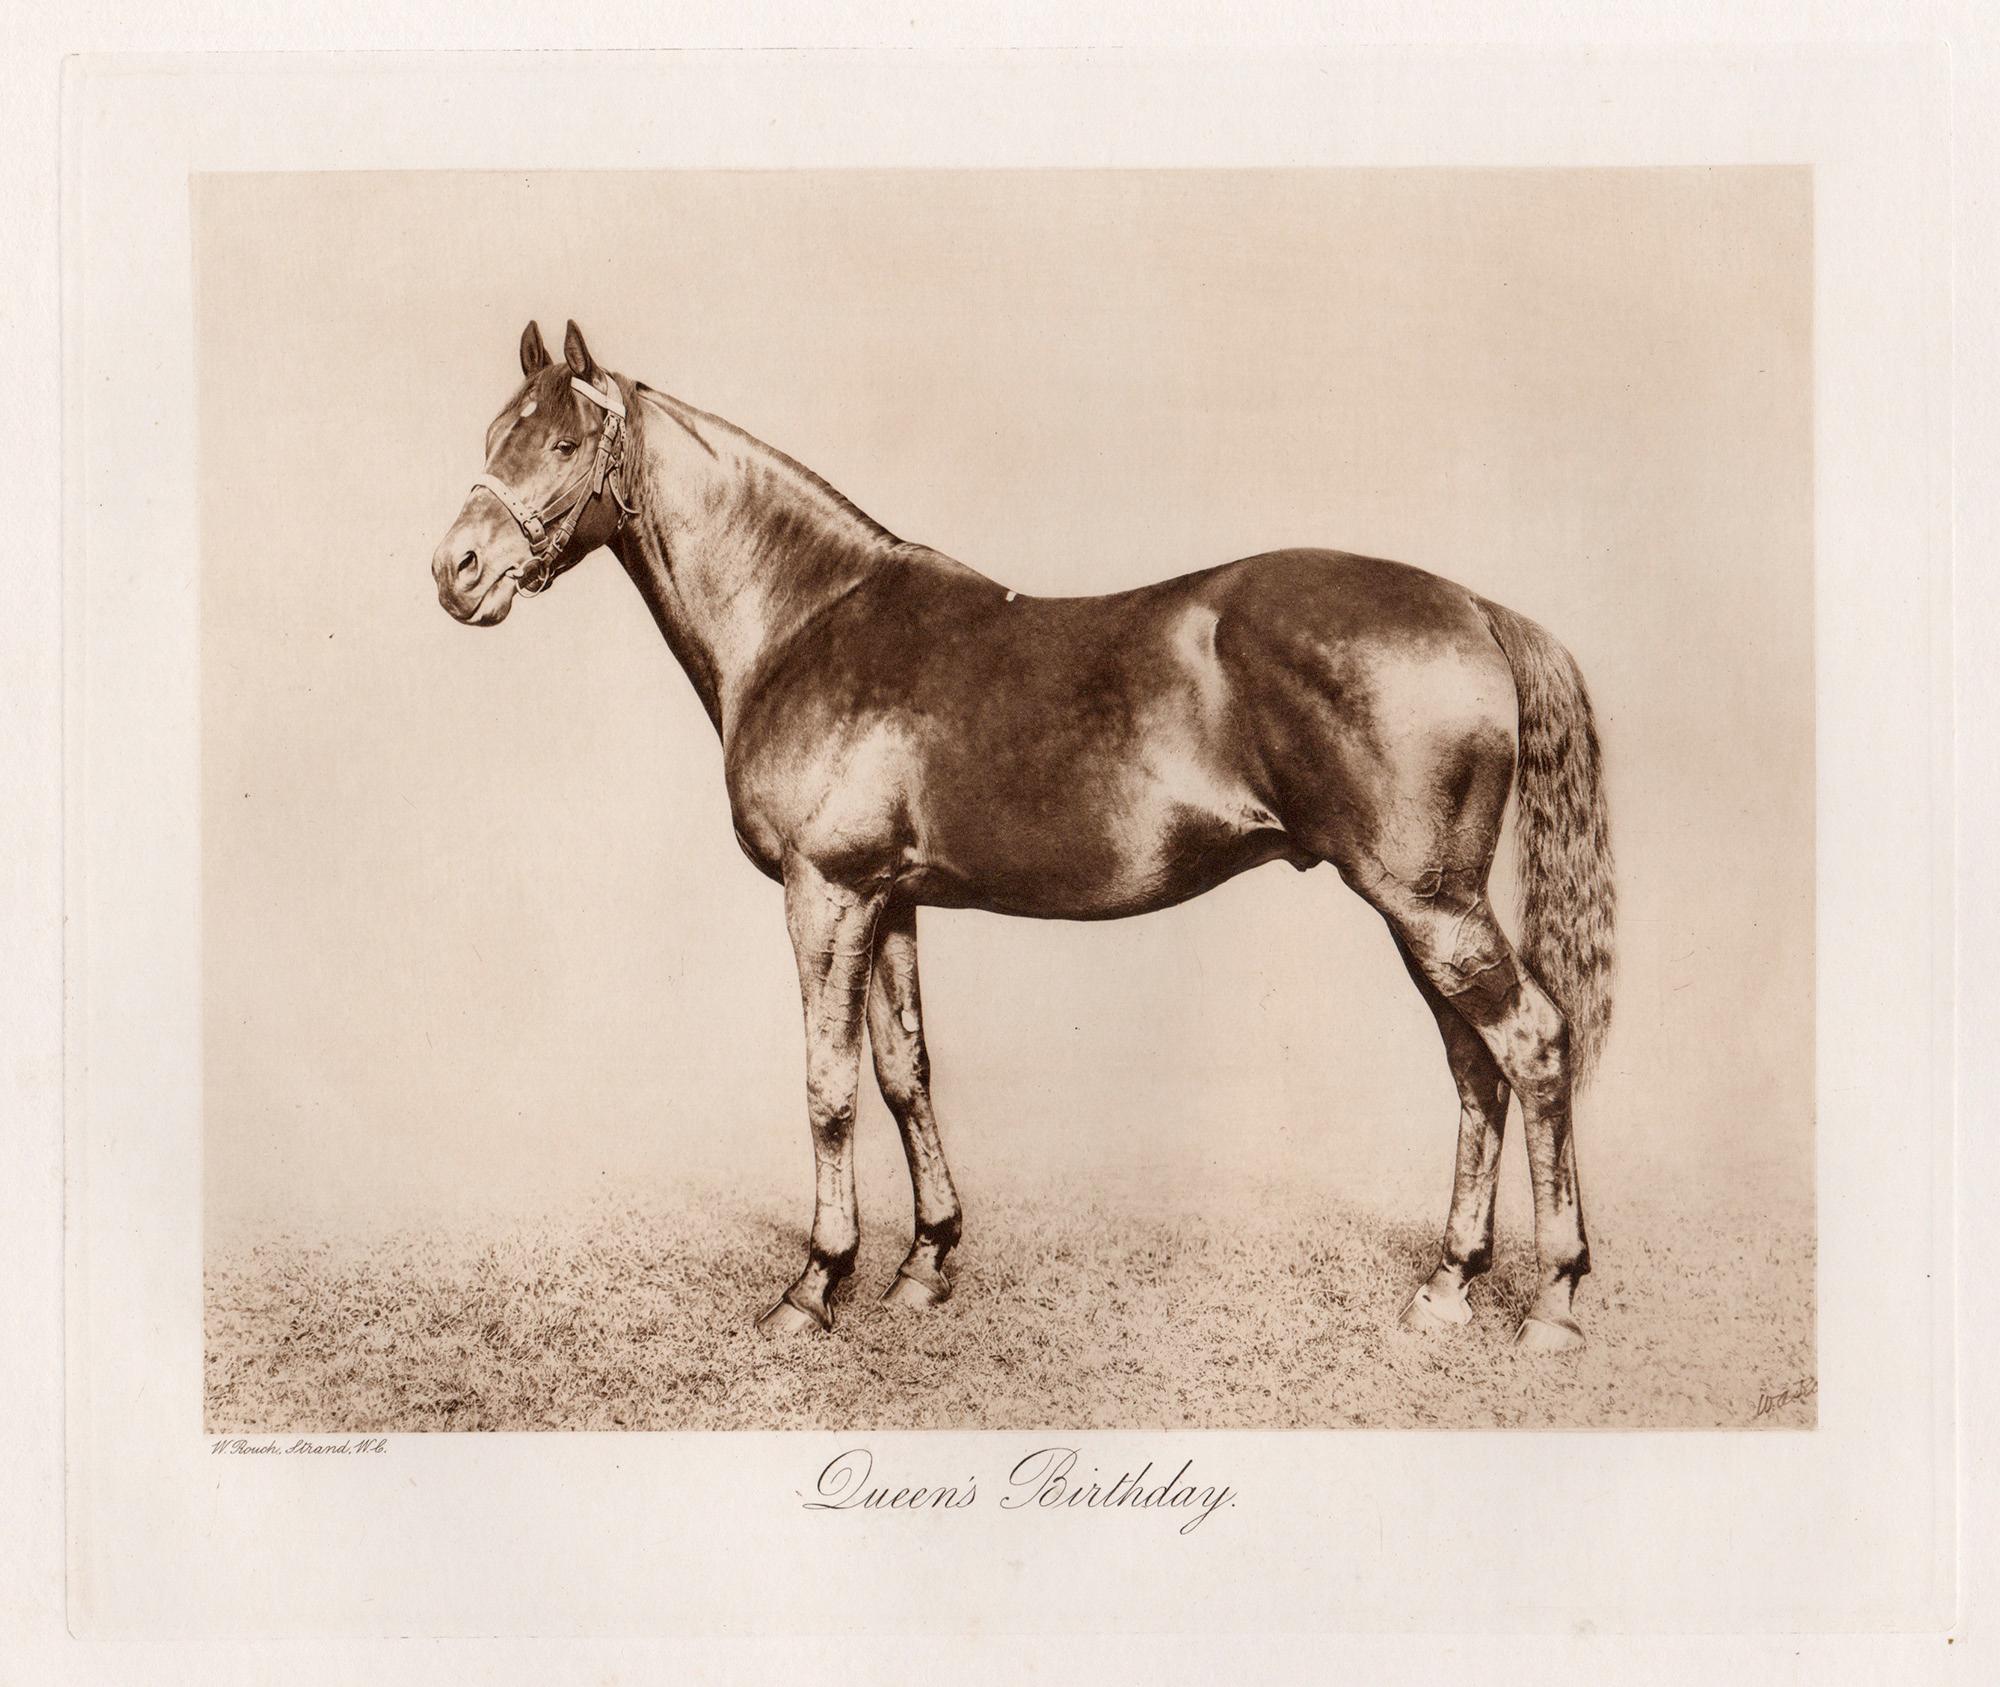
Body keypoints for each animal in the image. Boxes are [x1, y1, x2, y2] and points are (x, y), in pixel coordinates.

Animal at [430, 320, 1616, 1353]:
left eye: (564, 444)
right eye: (492, 436)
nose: (457, 571)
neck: (809, 619)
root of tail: (1474, 608)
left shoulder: (826, 893)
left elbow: (827, 1086)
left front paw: (815, 1283)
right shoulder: (891, 898)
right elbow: (904, 1071)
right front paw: (925, 1263)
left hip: (1428, 905)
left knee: (1530, 1045)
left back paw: (1553, 1301)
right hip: (1422, 913)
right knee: (1473, 1069)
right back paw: (1447, 1285)